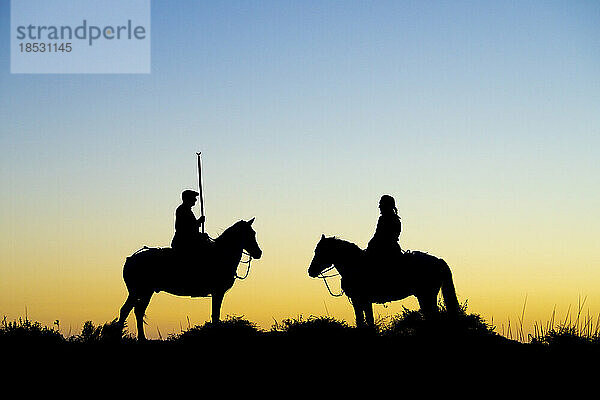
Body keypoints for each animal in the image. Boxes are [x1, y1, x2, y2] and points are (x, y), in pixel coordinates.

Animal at [116, 217, 262, 340]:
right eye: (248, 234)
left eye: (254, 233)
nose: (258, 253)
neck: (221, 255)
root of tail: (130, 259)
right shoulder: (218, 292)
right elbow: (215, 314)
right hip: (138, 291)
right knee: (125, 310)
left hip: (147, 292)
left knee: (138, 311)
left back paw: (142, 338)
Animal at [310, 234, 460, 328]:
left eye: (320, 251)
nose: (310, 271)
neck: (355, 264)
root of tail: (438, 261)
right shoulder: (363, 301)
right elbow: (366, 320)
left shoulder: (360, 299)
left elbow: (364, 320)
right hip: (424, 295)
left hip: (428, 294)